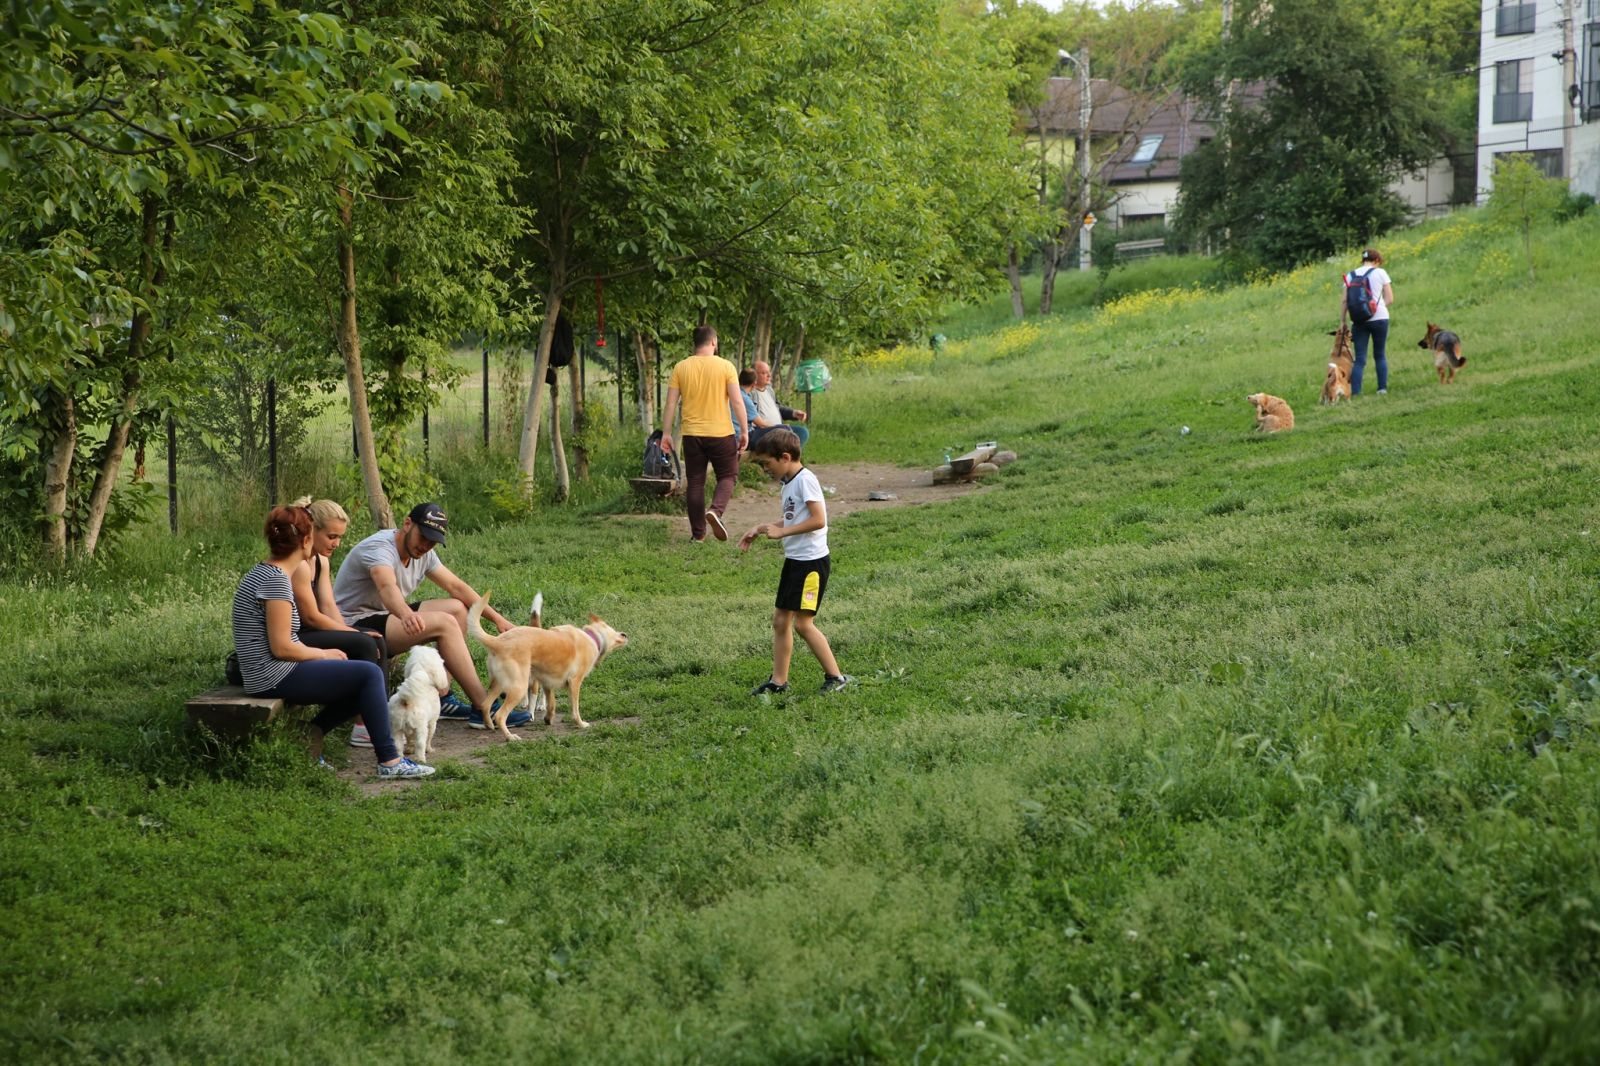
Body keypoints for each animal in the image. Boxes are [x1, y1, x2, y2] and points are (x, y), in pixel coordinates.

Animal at [467, 591, 628, 741]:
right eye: (612, 628)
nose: (625, 634)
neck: (592, 637)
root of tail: (497, 642)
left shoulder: (547, 683)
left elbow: (552, 704)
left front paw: (548, 719)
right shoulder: (575, 682)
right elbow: (575, 708)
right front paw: (581, 724)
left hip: (499, 684)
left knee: (485, 705)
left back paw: (489, 725)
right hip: (518, 687)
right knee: (500, 715)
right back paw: (510, 737)